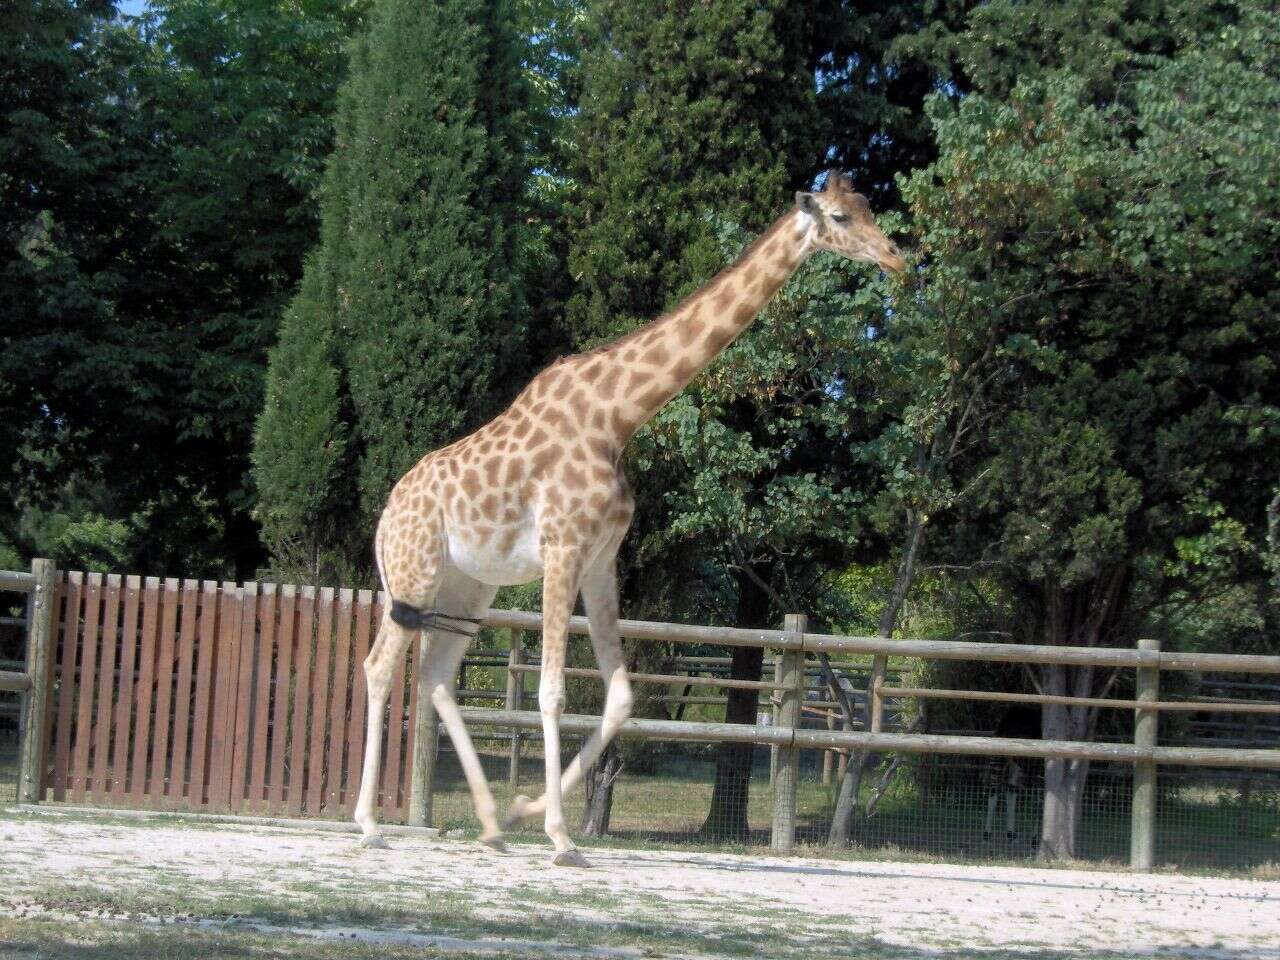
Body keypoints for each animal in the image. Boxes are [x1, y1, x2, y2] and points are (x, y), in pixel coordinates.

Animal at [355, 172, 906, 870]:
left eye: (869, 208)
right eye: (839, 216)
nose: (896, 258)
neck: (618, 415)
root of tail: (386, 514)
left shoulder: (601, 556)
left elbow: (621, 696)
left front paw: (528, 810)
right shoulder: (563, 546)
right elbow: (553, 691)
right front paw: (561, 836)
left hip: (469, 587)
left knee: (433, 677)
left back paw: (492, 823)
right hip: (414, 574)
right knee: (380, 668)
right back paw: (369, 823)